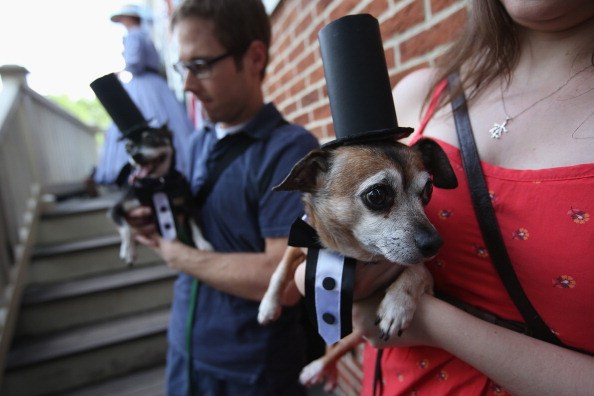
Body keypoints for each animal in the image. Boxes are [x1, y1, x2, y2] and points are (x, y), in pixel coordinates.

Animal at [256, 137, 456, 340]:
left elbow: (418, 270)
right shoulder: (299, 241)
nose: (435, 244)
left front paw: (397, 306)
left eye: (428, 190)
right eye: (377, 194)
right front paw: (268, 305)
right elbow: (280, 270)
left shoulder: (429, 282)